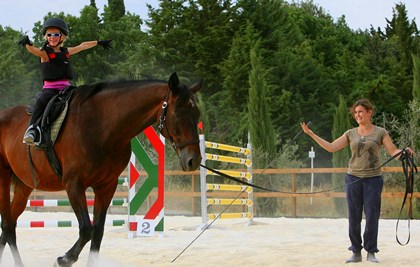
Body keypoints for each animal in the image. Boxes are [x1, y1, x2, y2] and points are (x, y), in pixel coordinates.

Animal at [0, 73, 203, 267]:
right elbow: (86, 229)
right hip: (4, 180)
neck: (102, 127)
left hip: (24, 185)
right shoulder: (74, 185)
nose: (193, 160)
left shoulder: (106, 186)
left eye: (197, 114)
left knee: (8, 225)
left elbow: (97, 230)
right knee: (8, 225)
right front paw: (64, 259)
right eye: (177, 114)